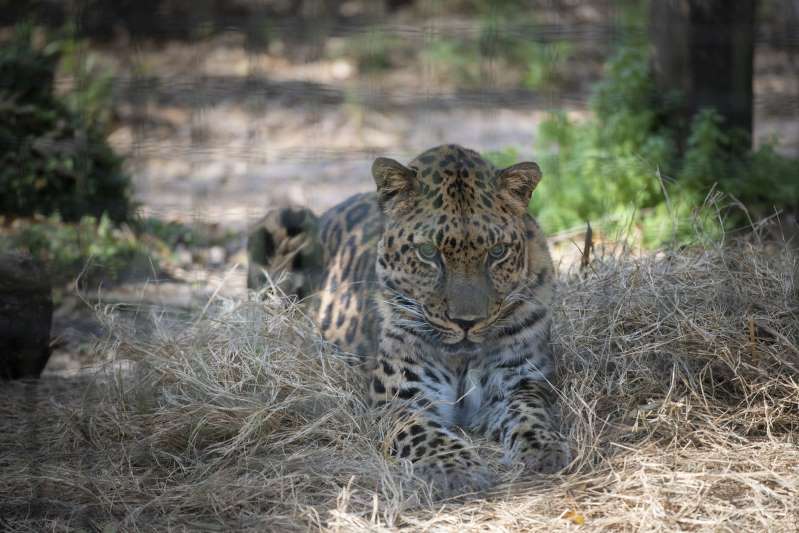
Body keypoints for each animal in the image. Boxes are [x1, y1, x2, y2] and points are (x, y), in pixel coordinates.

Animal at [247, 144, 572, 494]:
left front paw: (543, 448)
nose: (467, 322)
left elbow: (529, 412)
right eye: (428, 252)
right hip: (284, 219)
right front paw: (455, 467)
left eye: (497, 252)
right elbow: (424, 433)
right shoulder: (401, 398)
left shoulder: (520, 381)